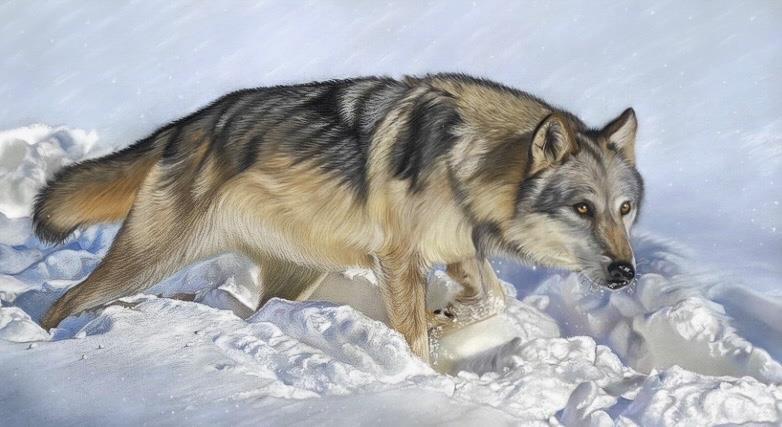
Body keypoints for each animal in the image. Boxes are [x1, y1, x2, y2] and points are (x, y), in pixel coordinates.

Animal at [34, 74, 643, 363]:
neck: (468, 160)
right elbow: (414, 338)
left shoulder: (459, 250)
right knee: (65, 300)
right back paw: (45, 340)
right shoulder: (399, 261)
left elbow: (493, 299)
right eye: (582, 208)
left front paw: (446, 318)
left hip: (296, 277)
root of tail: (185, 126)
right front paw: (423, 373)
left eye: (625, 209)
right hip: (150, 259)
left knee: (260, 310)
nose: (626, 272)